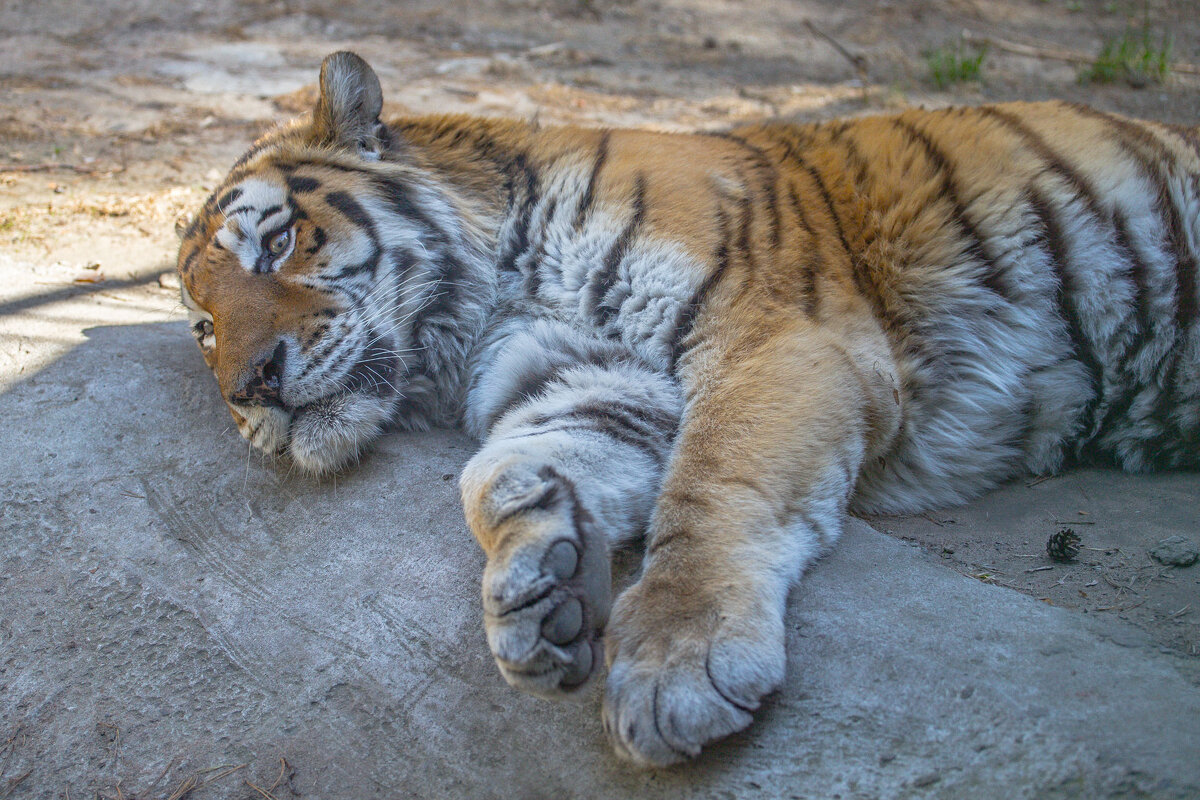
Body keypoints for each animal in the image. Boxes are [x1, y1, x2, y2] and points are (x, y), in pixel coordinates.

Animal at [175, 51, 1200, 767]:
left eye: (277, 243)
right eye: (202, 327)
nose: (250, 386)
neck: (490, 302)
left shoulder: (775, 332)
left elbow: (713, 484)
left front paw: (676, 662)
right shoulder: (605, 381)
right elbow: (497, 471)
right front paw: (541, 577)